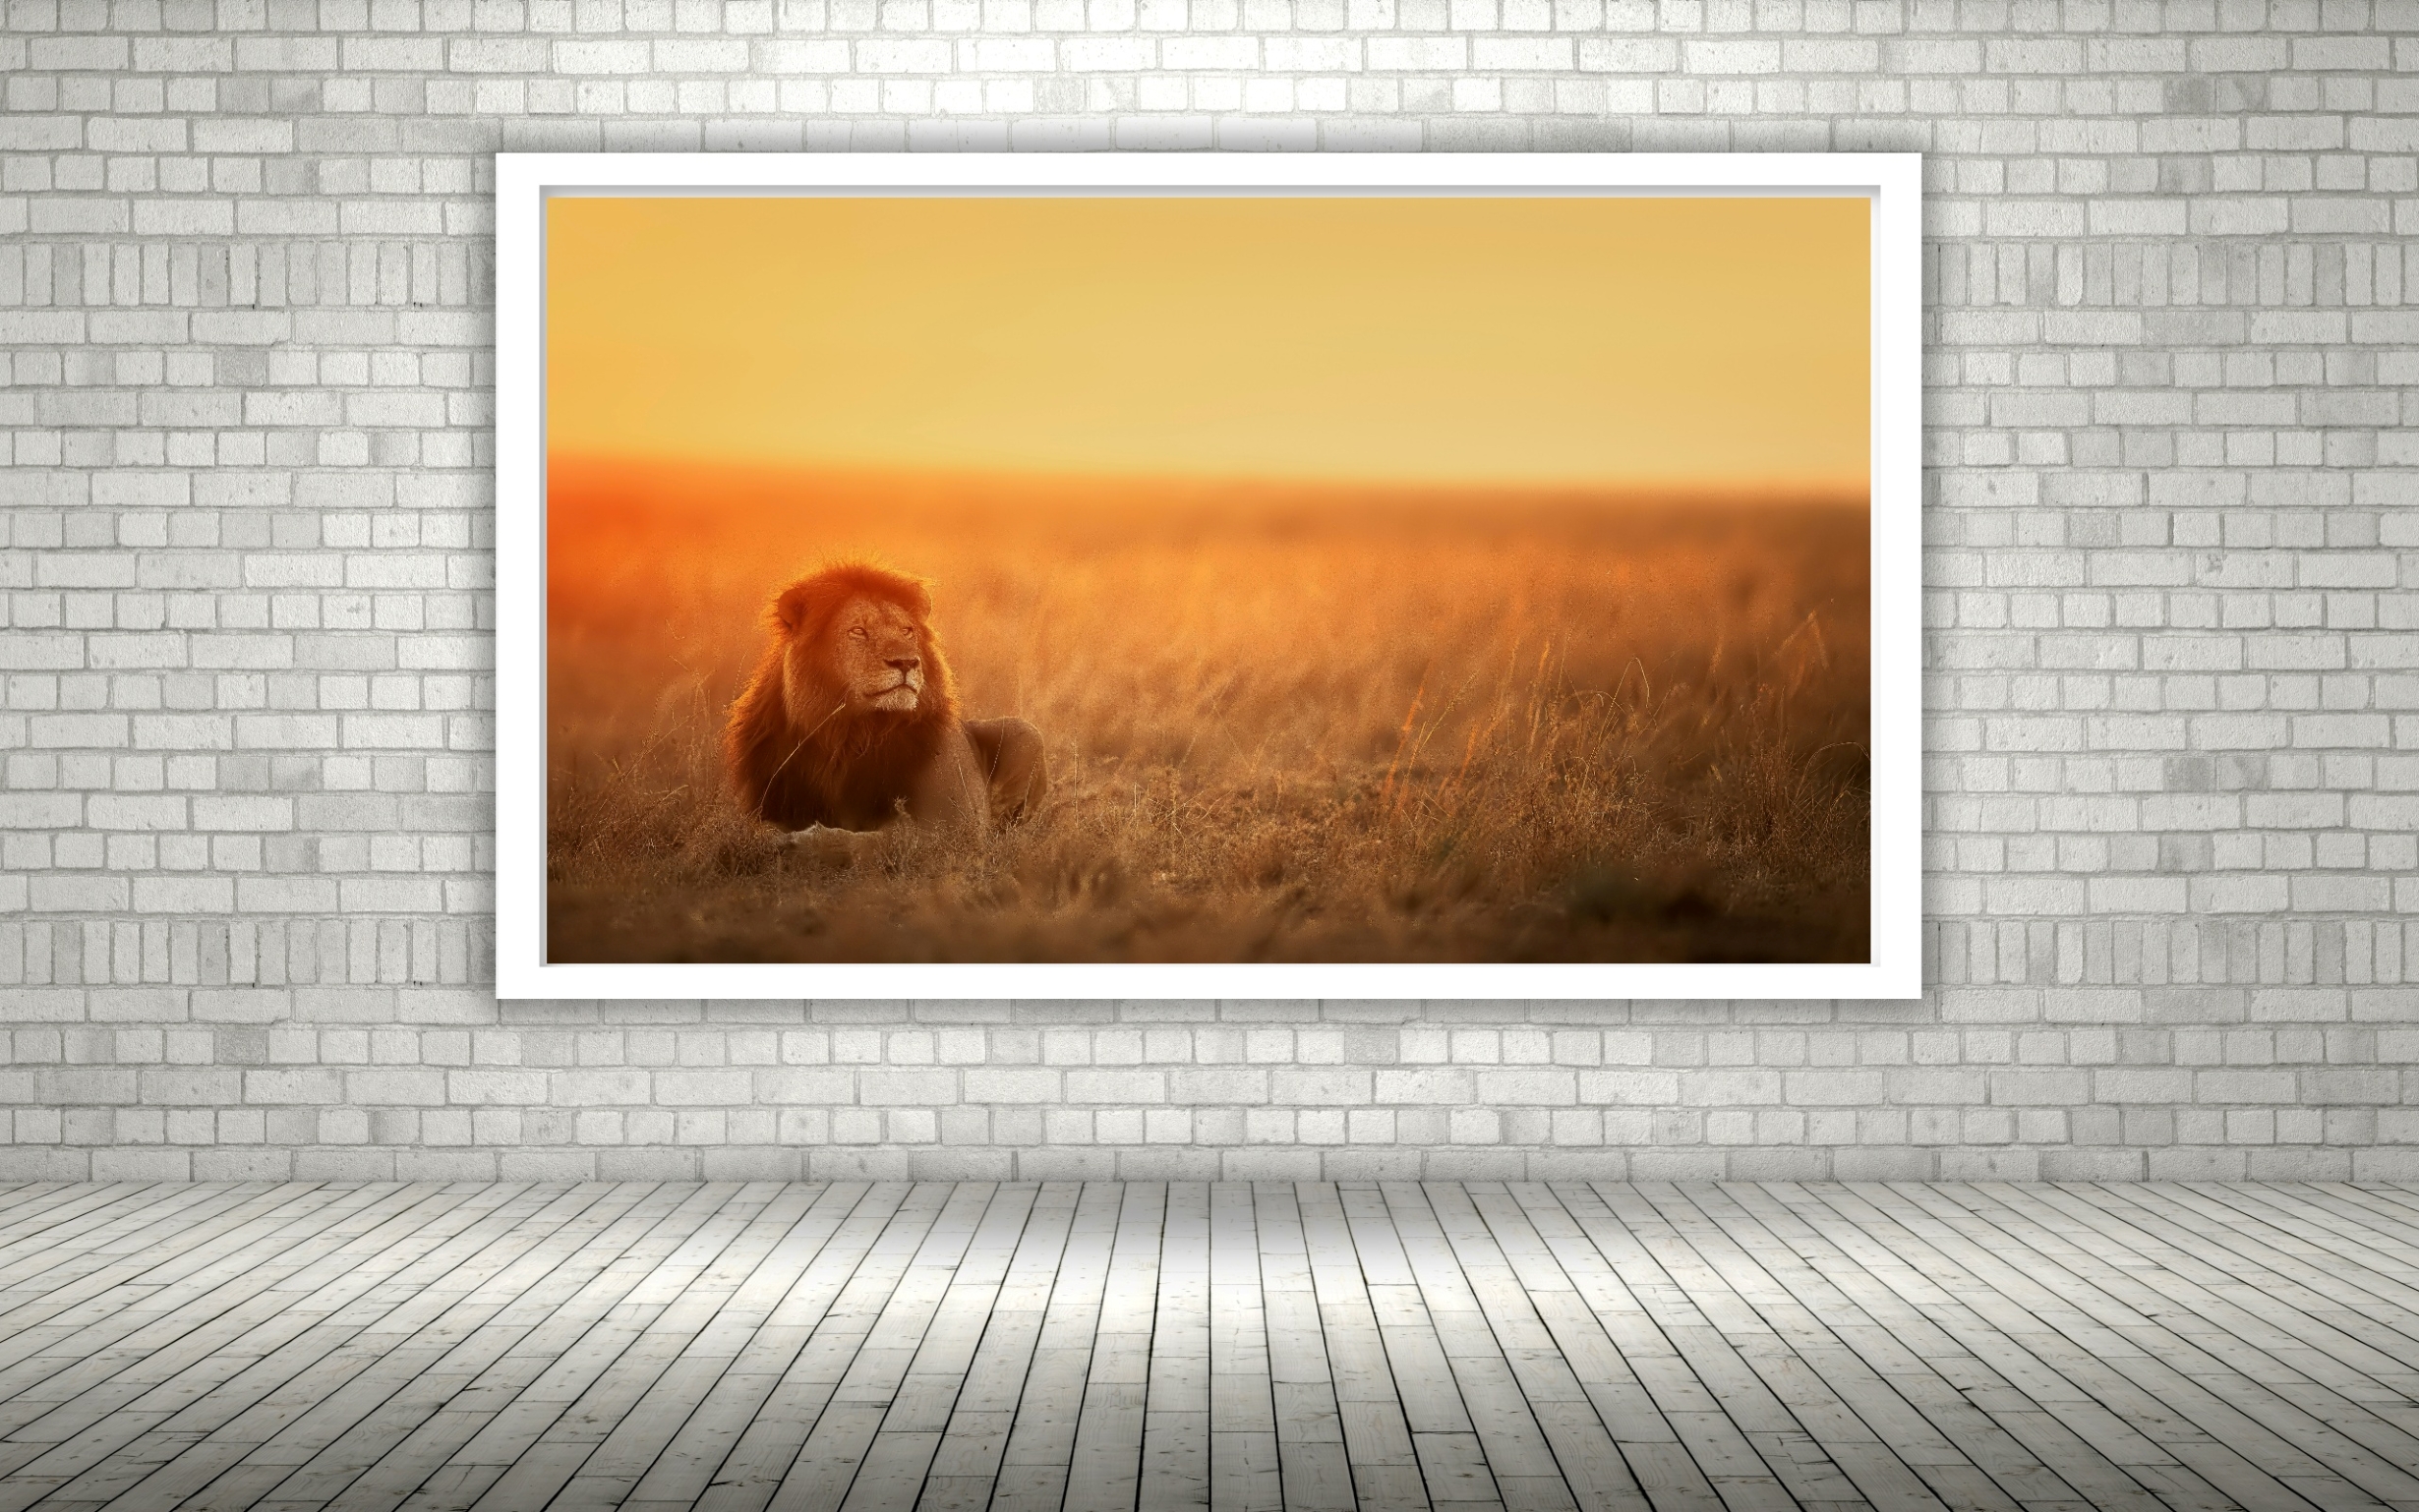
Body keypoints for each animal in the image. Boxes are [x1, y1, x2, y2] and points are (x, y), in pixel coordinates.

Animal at [722, 561, 1046, 865]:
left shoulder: (955, 826)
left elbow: (886, 839)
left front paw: (805, 844)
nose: (906, 662)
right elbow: (750, 830)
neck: (849, 734)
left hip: (1025, 732)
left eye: (906, 630)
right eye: (858, 631)